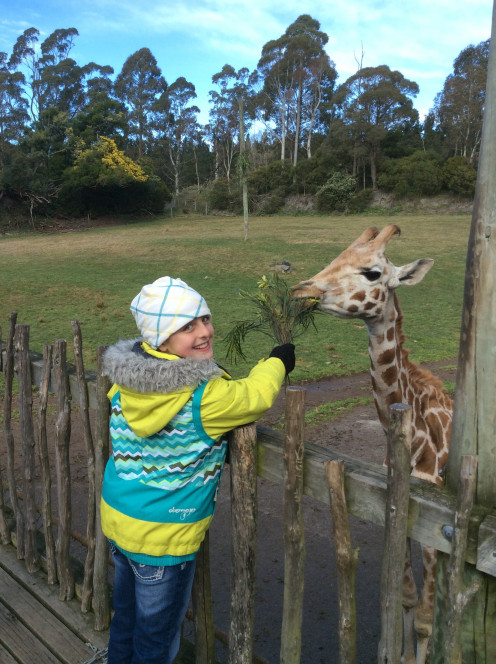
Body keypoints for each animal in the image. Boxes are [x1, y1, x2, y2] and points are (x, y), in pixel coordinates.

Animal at [294, 224, 454, 664]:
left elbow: (425, 620)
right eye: (335, 256)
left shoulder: (434, 525)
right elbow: (405, 600)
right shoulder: (395, 511)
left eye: (372, 272)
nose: (299, 290)